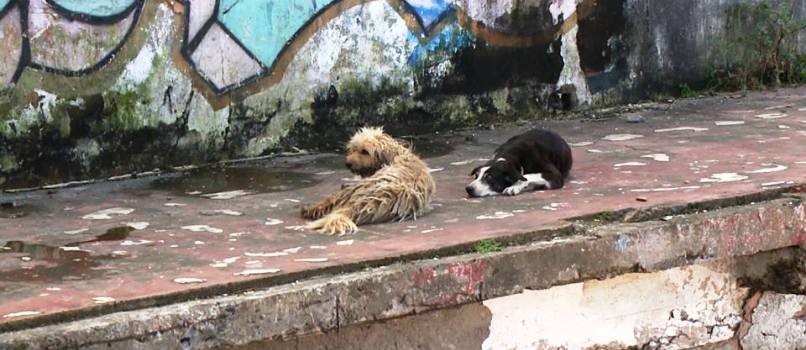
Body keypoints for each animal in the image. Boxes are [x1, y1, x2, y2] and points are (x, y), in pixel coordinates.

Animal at [300, 127, 436, 234]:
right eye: (353, 149)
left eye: (365, 152)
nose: (347, 163)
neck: (396, 155)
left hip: (353, 188)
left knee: (330, 201)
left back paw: (309, 210)